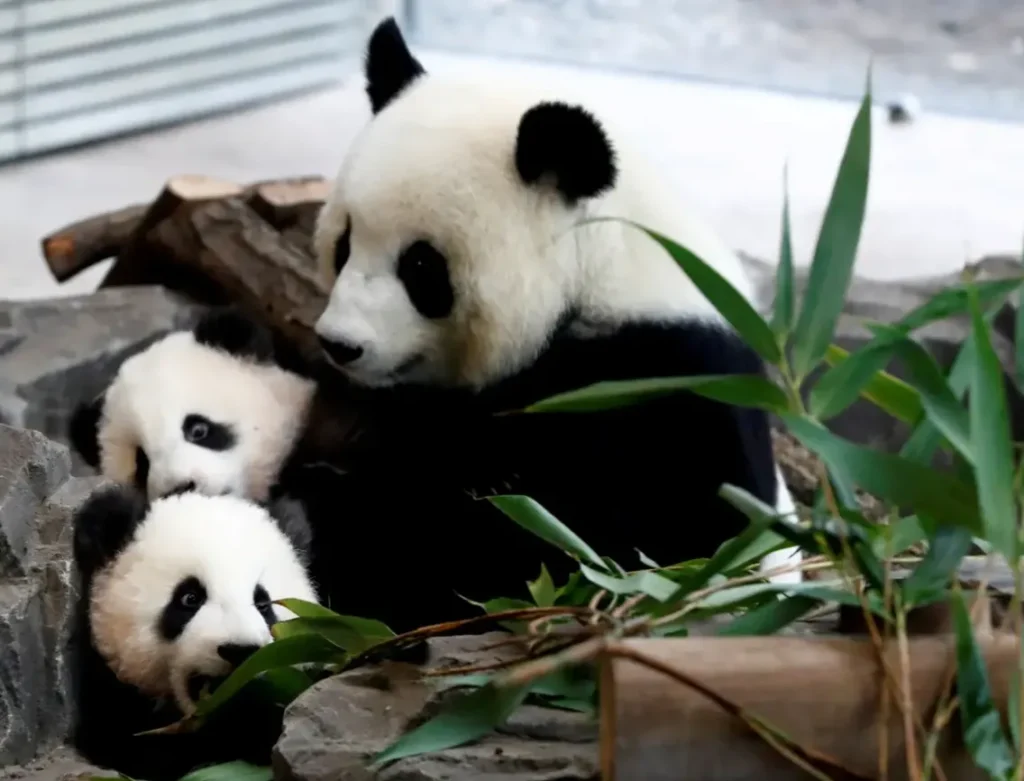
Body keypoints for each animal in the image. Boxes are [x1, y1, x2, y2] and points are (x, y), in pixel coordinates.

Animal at [304, 17, 802, 630]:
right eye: (344, 243)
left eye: (422, 267)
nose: (341, 343)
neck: (600, 273)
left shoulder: (674, 378)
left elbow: (661, 541)